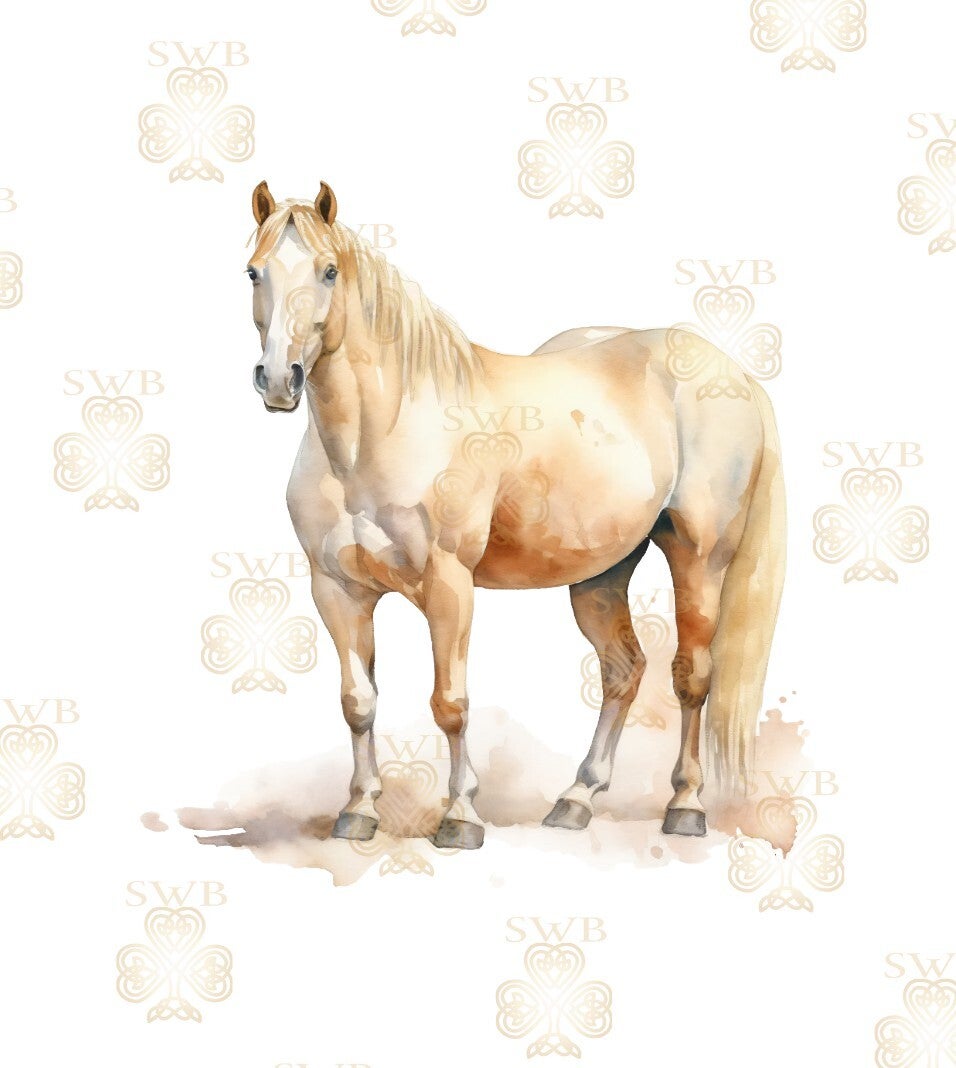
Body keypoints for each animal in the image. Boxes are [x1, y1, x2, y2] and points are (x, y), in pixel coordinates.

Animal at [244, 180, 786, 849]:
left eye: (328, 270)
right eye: (253, 272)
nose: (278, 380)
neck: (378, 433)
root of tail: (730, 372)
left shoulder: (449, 585)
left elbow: (450, 703)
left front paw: (460, 818)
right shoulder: (337, 590)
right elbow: (358, 702)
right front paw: (359, 811)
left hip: (700, 559)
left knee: (693, 676)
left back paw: (685, 806)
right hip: (601, 574)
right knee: (623, 671)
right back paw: (575, 800)